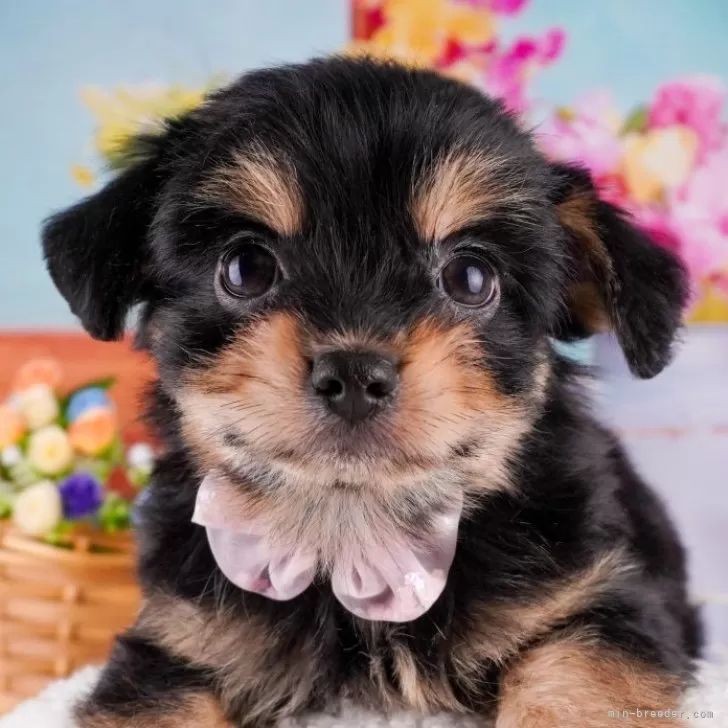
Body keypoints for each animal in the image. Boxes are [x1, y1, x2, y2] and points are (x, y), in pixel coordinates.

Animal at [44, 58, 700, 728]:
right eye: (246, 268)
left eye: (472, 278)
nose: (355, 373)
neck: (352, 535)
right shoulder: (176, 636)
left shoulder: (598, 605)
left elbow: (576, 678)